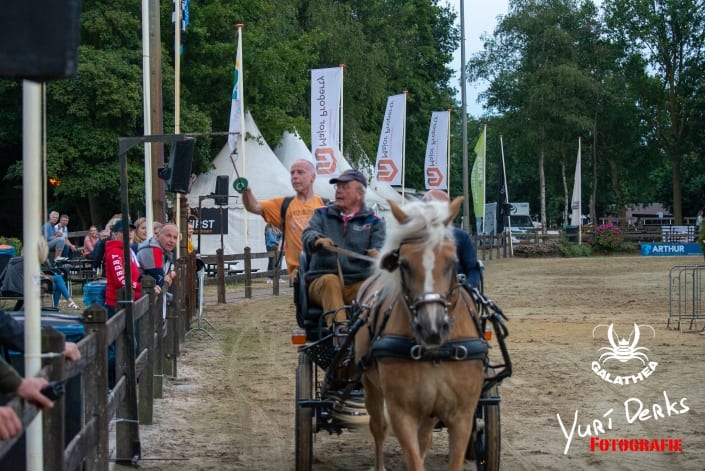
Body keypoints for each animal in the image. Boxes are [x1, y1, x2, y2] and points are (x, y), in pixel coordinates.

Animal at [354, 197, 486, 470]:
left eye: (452, 261)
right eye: (403, 264)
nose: (432, 327)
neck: (435, 354)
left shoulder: (462, 415)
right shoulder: (401, 412)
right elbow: (413, 458)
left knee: (424, 437)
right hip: (371, 386)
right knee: (378, 427)